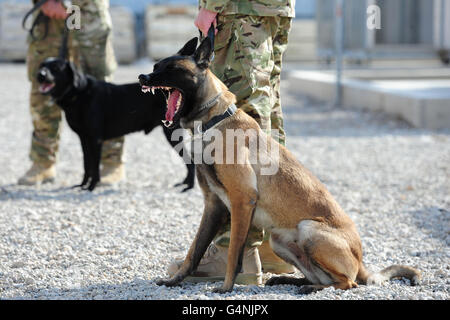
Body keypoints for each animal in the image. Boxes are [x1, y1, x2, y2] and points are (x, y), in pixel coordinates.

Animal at [36, 57, 194, 191]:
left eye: (56, 67)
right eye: (42, 65)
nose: (40, 74)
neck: (79, 93)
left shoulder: (95, 139)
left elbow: (95, 166)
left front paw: (91, 187)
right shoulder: (84, 139)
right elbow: (87, 165)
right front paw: (82, 185)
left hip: (171, 134)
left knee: (191, 161)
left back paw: (190, 186)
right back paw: (186, 183)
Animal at [138, 36, 422, 294]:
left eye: (172, 70)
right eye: (155, 67)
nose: (142, 76)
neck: (215, 119)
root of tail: (360, 261)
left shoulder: (242, 200)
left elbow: (233, 252)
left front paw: (226, 287)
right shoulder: (213, 204)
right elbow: (193, 251)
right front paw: (175, 280)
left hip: (309, 229)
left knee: (347, 282)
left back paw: (311, 288)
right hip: (279, 241)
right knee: (321, 276)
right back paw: (293, 281)